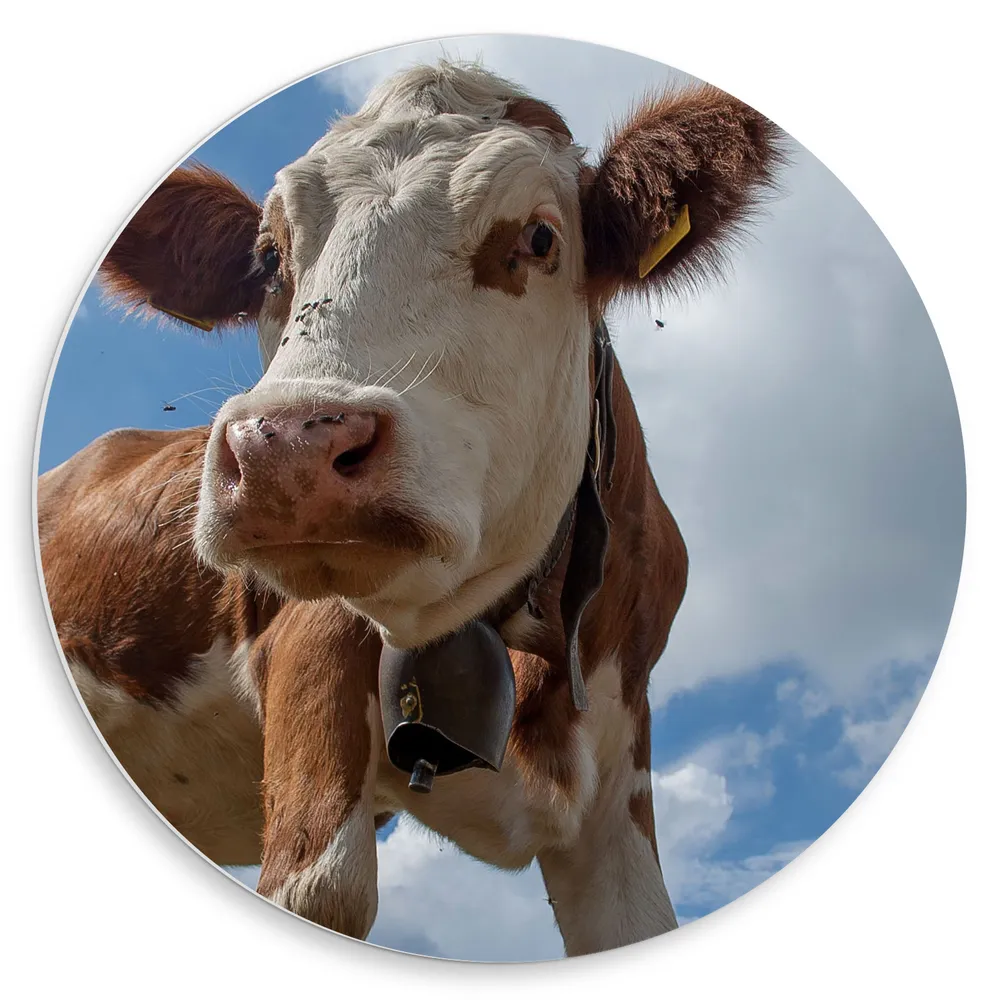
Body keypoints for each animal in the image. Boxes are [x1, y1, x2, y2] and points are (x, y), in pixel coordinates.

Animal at [37, 61, 784, 956]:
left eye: (540, 238)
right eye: (267, 256)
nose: (286, 449)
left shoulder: (616, 760)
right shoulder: (312, 652)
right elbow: (324, 892)